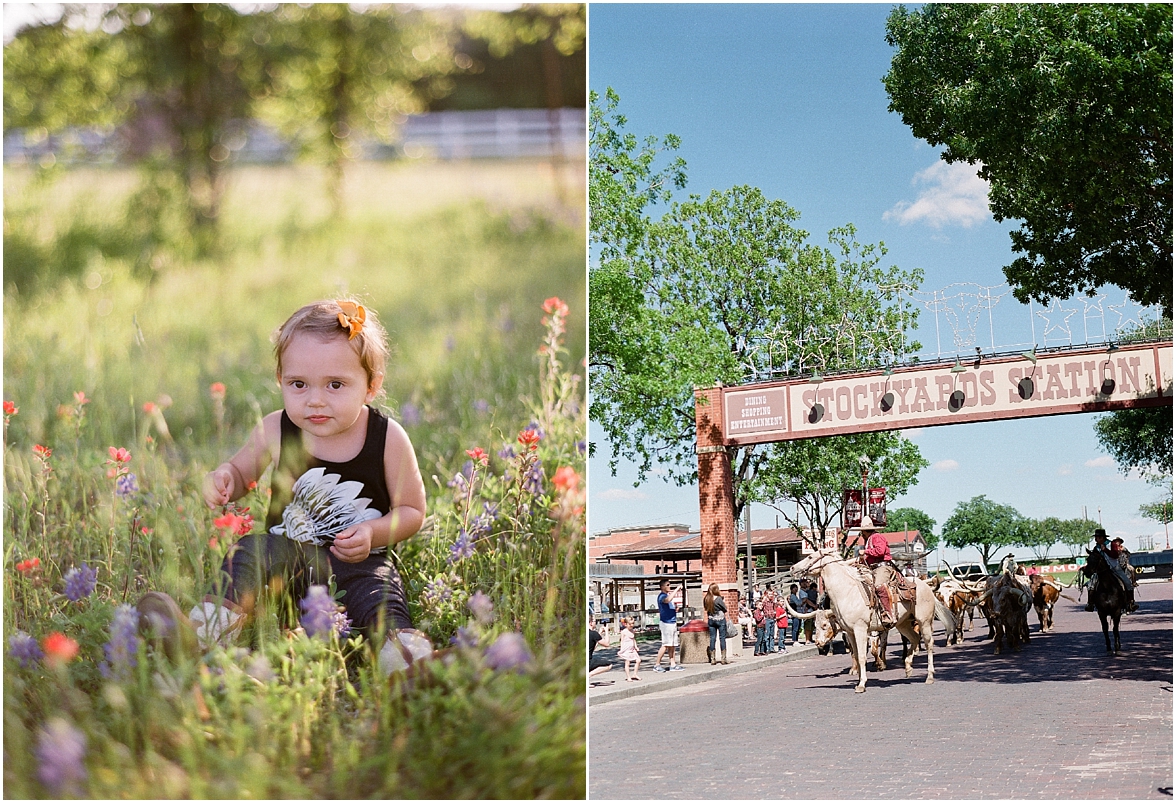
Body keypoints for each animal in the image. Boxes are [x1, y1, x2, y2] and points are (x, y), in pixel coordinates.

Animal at [780, 550, 954, 696]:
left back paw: (929, 676)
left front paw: (862, 684)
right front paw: (858, 679)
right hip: (903, 623)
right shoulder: (850, 632)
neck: (847, 592)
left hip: (924, 621)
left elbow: (864, 655)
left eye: (810, 557)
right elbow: (856, 656)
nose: (792, 567)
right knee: (914, 638)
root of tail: (926, 586)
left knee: (929, 643)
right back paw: (908, 667)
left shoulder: (861, 629)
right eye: (816, 626)